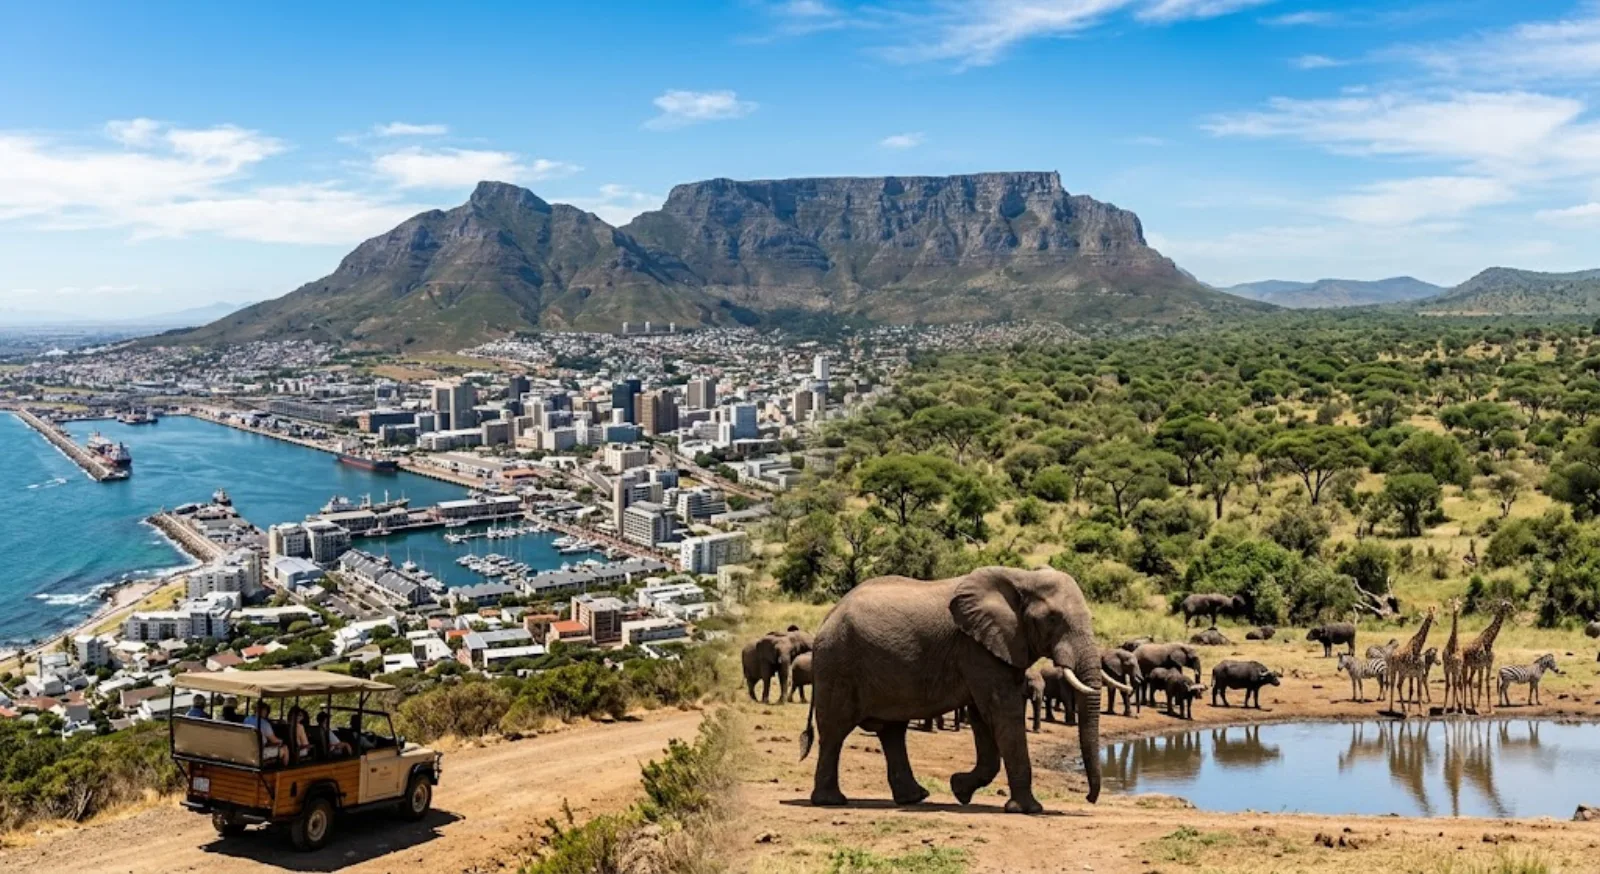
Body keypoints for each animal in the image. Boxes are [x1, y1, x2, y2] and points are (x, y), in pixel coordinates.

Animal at [799, 567, 1115, 812]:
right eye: (1052, 619)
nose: (1089, 798)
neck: (1021, 577)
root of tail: (828, 616)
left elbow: (983, 717)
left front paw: (959, 789)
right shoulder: (976, 648)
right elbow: (1001, 710)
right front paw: (1028, 810)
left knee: (892, 732)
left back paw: (915, 798)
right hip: (837, 663)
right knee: (835, 731)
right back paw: (831, 802)